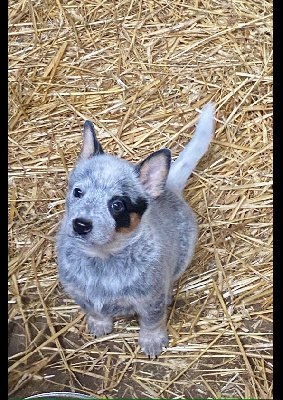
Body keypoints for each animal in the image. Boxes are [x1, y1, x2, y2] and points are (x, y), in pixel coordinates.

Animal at [55, 102, 215, 356]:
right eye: (78, 192)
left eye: (117, 205)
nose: (80, 224)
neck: (102, 261)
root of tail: (169, 186)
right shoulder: (79, 293)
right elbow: (94, 310)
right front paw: (99, 323)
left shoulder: (150, 299)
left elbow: (152, 322)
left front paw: (152, 341)